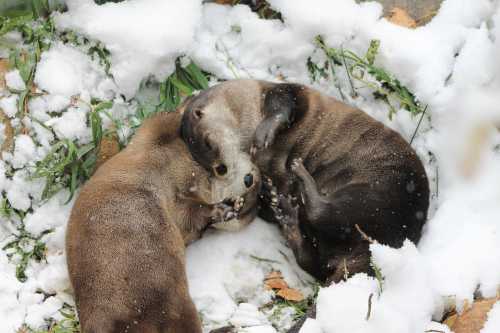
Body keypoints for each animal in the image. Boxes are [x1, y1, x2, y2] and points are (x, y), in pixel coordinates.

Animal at [67, 110, 262, 330]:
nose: (250, 179)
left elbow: (194, 218)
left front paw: (234, 207)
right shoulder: (154, 141)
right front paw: (228, 206)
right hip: (170, 300)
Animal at [180, 79, 430, 284]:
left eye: (208, 142)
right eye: (209, 169)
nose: (222, 168)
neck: (249, 106)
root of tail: (390, 245)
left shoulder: (286, 92)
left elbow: (285, 105)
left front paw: (263, 135)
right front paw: (234, 205)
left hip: (375, 194)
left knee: (324, 221)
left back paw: (294, 184)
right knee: (316, 251)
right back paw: (287, 208)